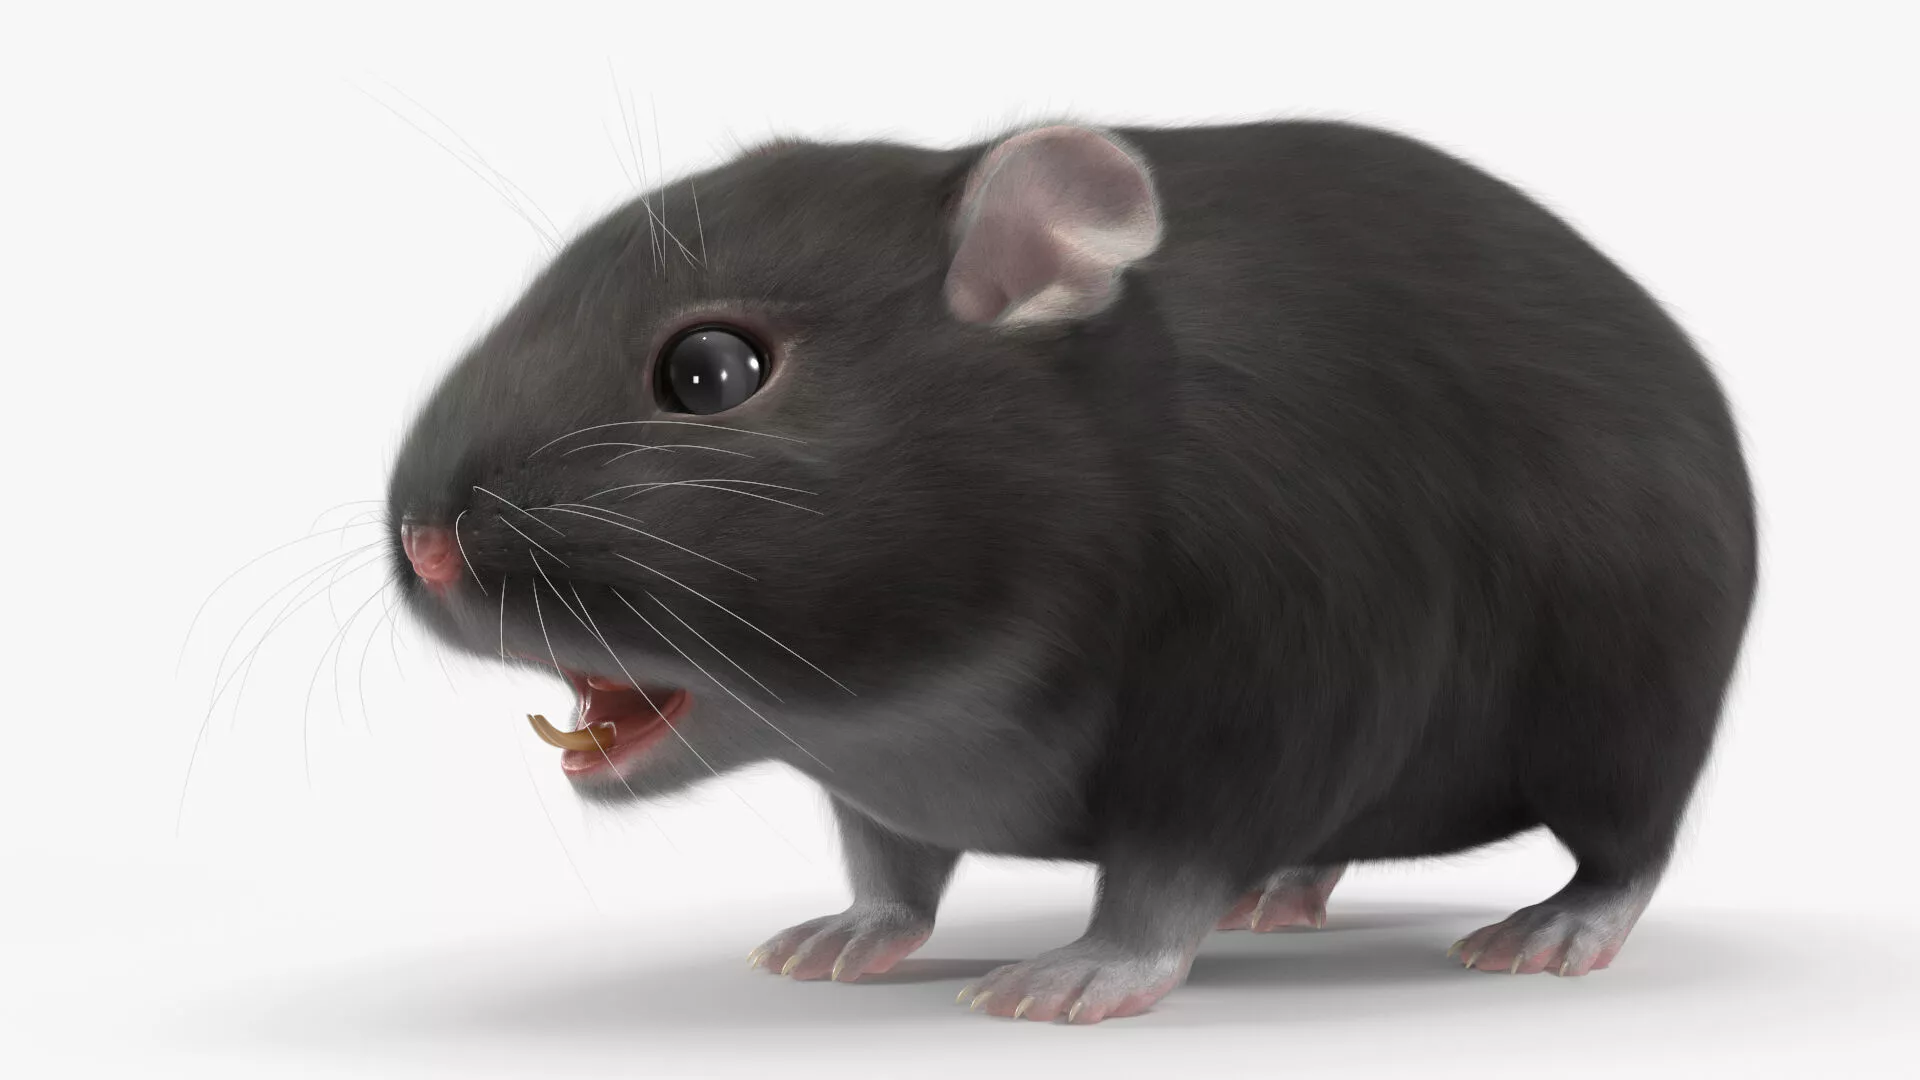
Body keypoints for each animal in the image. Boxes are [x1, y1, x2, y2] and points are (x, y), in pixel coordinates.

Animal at [386, 119, 1757, 1023]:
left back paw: (1560, 921)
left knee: (1631, 838)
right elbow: (891, 862)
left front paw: (1096, 964)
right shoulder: (883, 789)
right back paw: (1291, 889)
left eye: (710, 372)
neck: (928, 706)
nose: (424, 541)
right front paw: (859, 928)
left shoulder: (1268, 683)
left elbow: (1172, 863)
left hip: (1637, 690)